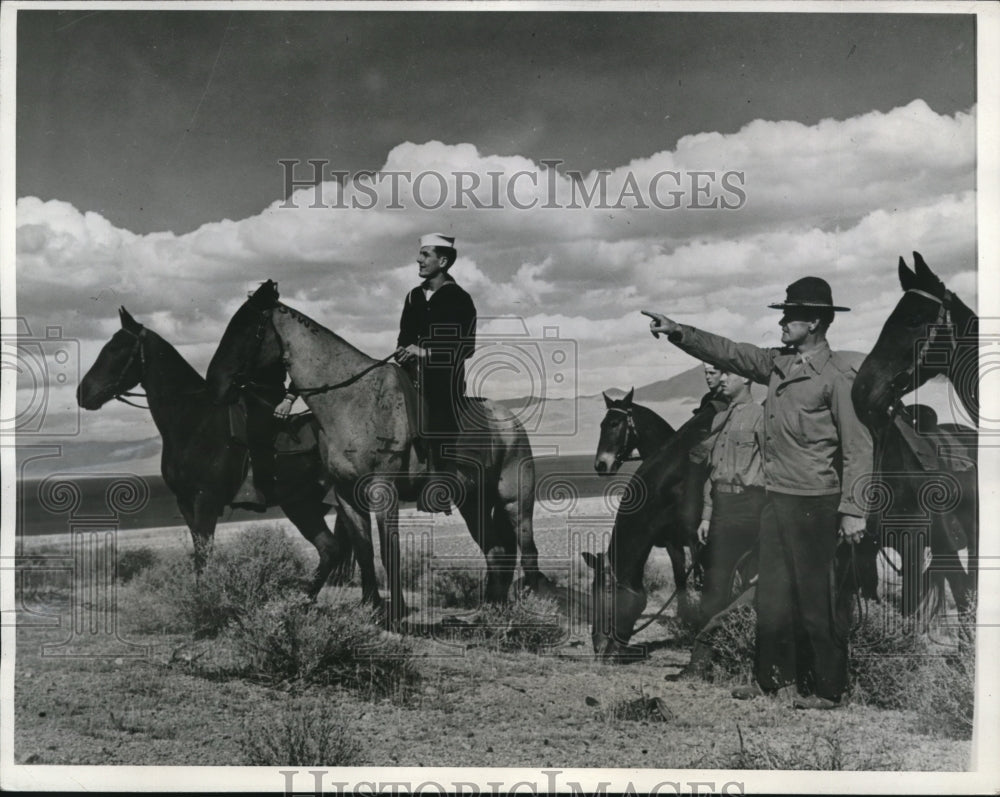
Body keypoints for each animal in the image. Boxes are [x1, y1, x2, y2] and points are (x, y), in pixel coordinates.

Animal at [77, 308, 352, 592]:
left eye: (117, 349)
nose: (82, 393)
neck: (195, 420)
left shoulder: (205, 502)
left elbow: (204, 557)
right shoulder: (186, 503)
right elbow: (200, 556)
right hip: (301, 504)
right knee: (330, 549)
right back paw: (305, 598)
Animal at [205, 280, 548, 620]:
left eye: (247, 328)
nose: (215, 385)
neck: (353, 402)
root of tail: (512, 422)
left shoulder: (383, 490)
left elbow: (388, 549)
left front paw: (395, 612)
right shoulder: (346, 494)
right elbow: (363, 549)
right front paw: (370, 606)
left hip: (515, 501)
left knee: (528, 551)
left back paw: (534, 609)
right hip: (473, 502)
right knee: (496, 551)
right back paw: (492, 609)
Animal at [584, 398, 724, 660]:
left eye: (615, 424)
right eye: (601, 424)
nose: (598, 648)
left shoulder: (700, 541)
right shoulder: (673, 541)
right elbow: (681, 579)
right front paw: (685, 621)